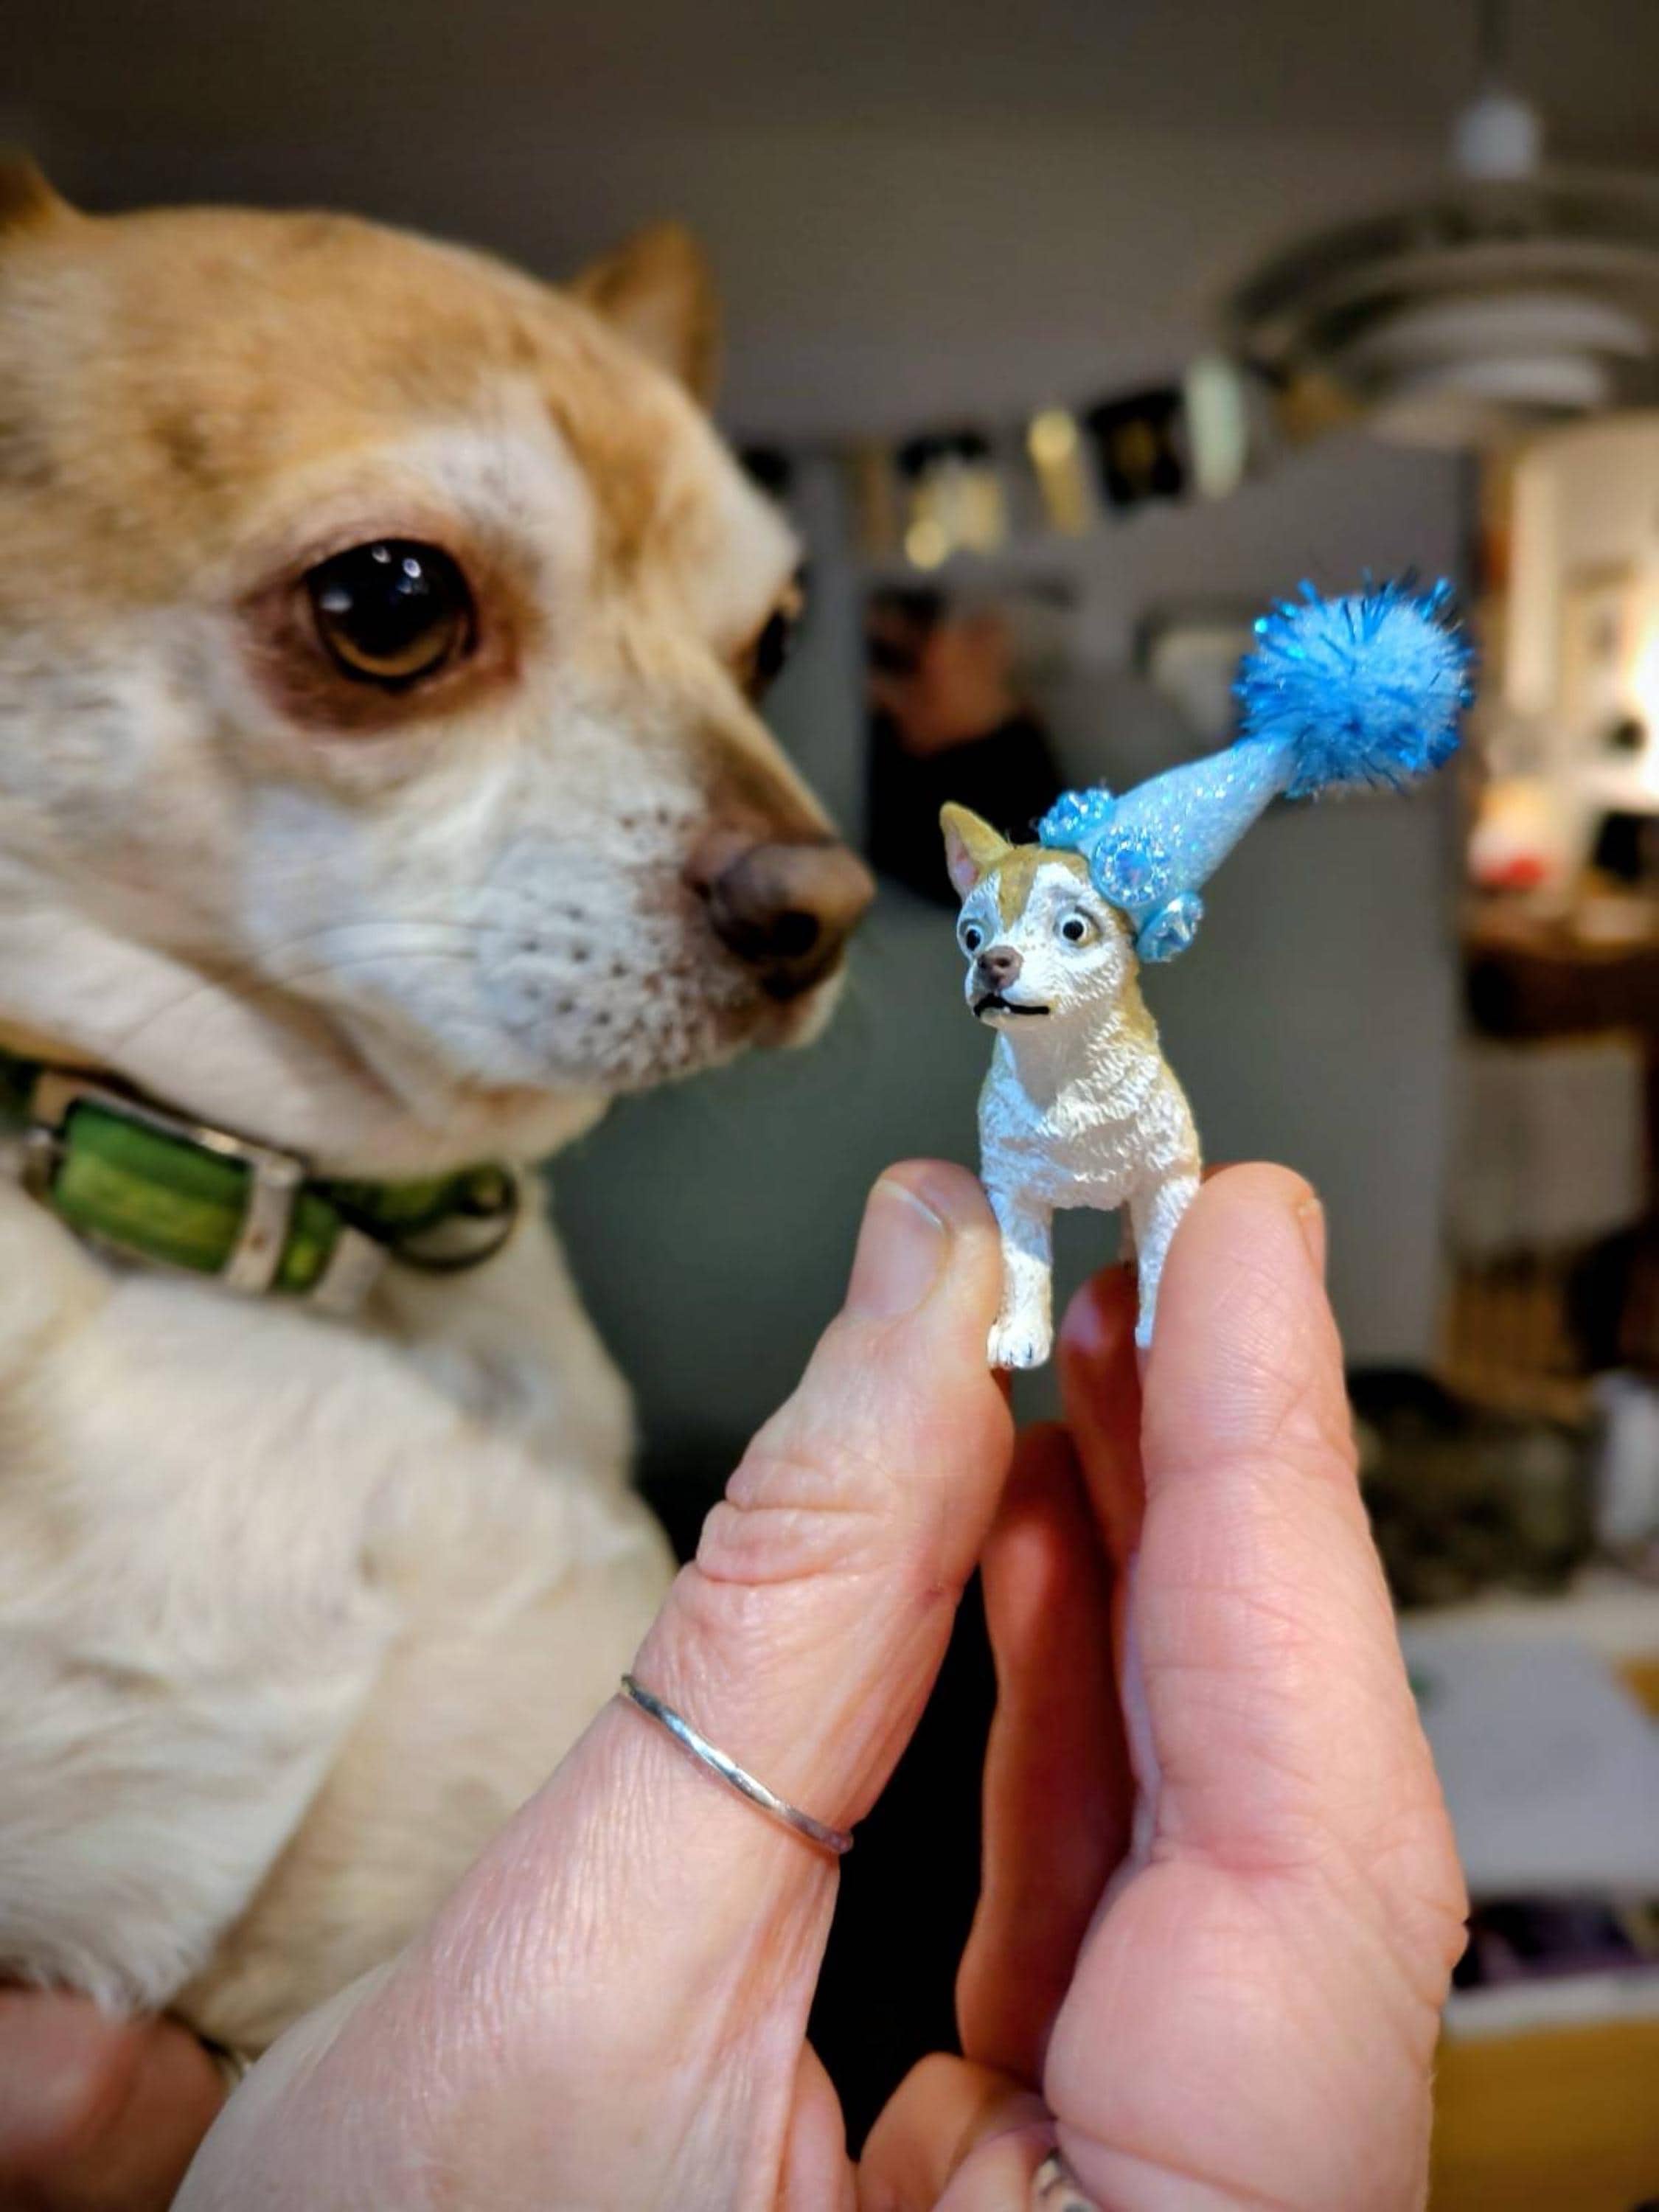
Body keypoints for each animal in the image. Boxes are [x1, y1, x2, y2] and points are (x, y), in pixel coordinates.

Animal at [942, 803, 1199, 1366]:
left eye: (1074, 928)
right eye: (971, 936)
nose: (993, 960)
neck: (1066, 1078)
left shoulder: (1167, 1178)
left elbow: (1163, 1256)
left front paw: (1157, 1328)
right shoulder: (1012, 1192)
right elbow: (1022, 1270)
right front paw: (1019, 1334)